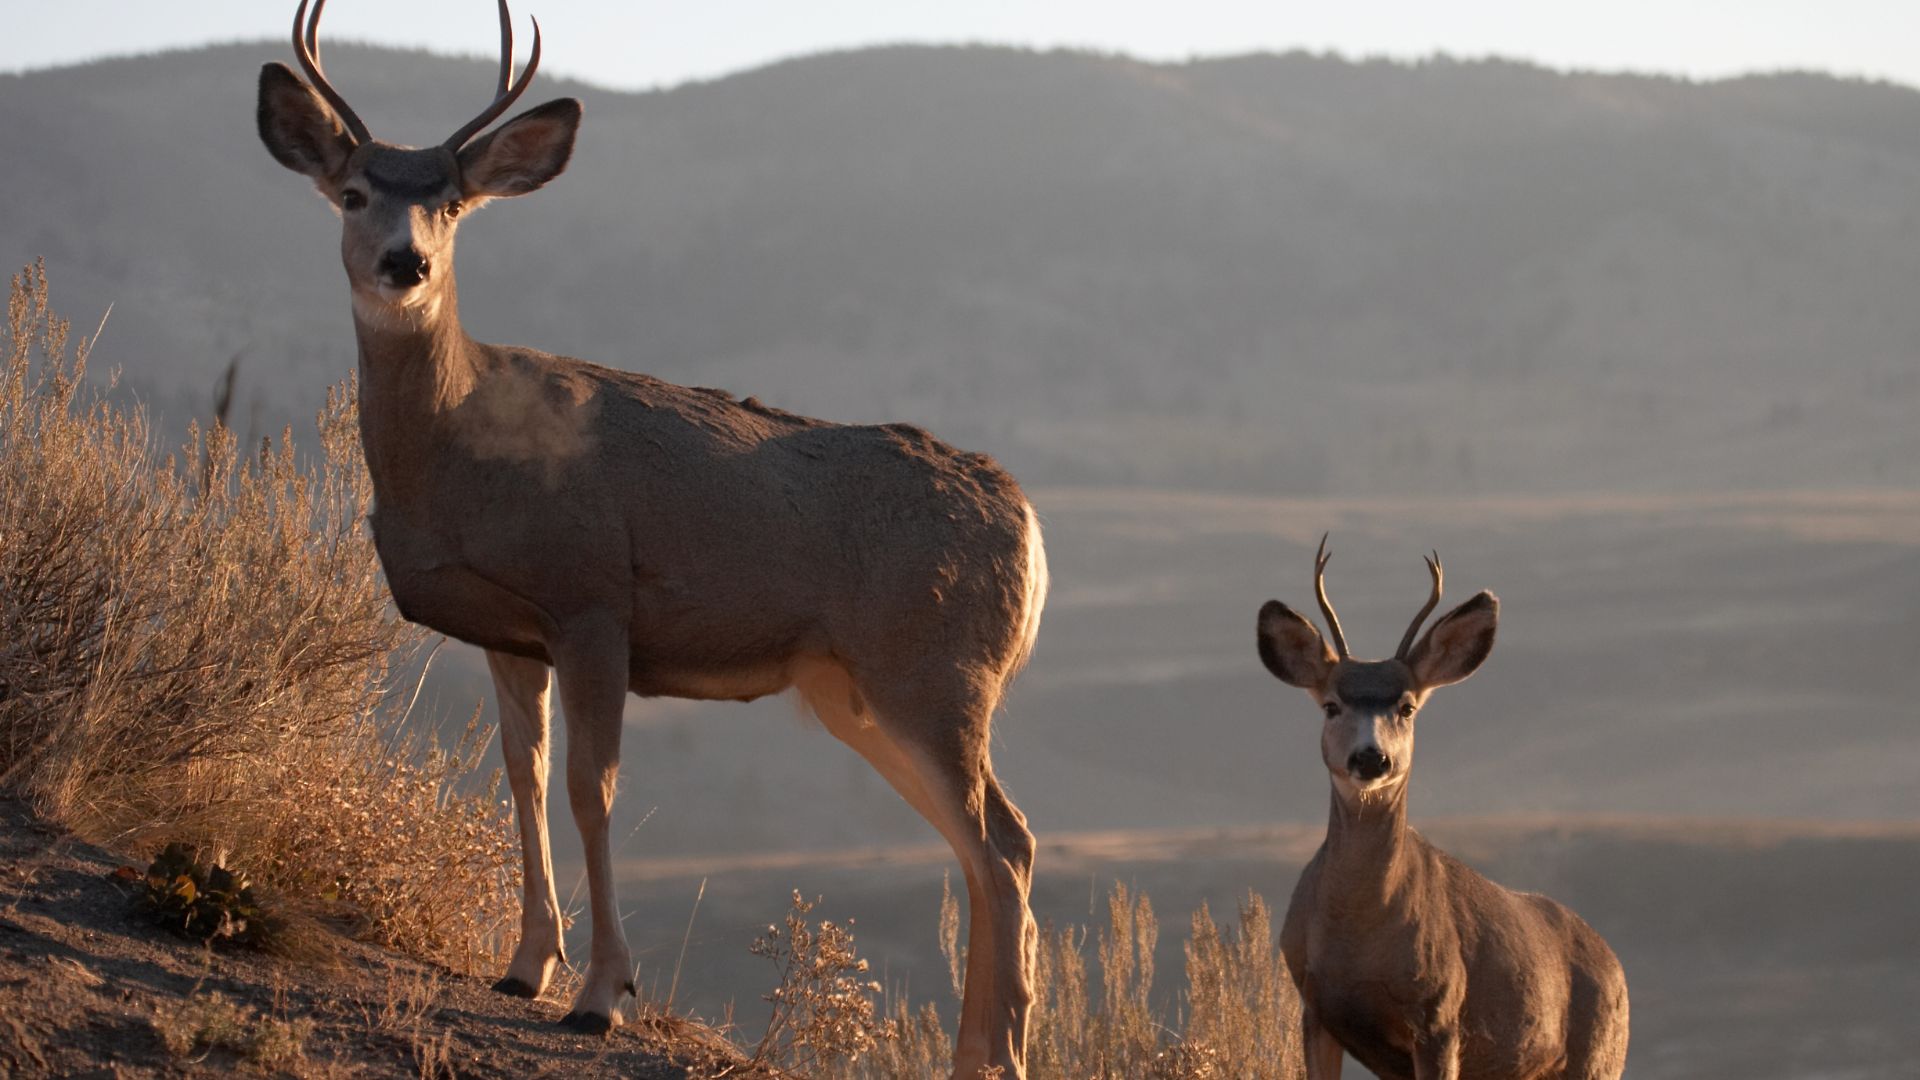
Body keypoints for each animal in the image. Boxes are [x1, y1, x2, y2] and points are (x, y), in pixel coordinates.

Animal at [254, 3, 1048, 1074]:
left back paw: (994, 1051)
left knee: (1003, 844)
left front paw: (601, 995)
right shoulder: (508, 632)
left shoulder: (592, 598)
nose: (403, 264)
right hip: (855, 690)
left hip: (934, 668)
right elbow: (523, 778)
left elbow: (592, 788)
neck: (461, 451)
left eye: (453, 206)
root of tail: (1028, 525)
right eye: (352, 193)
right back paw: (982, 1046)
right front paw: (524, 966)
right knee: (988, 845)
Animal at [1255, 538, 1628, 1080]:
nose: (1371, 757)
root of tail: (1615, 965)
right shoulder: (1316, 1008)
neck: (1359, 940)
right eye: (1331, 705)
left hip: (1599, 1057)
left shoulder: (1440, 1013)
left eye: (1407, 707)